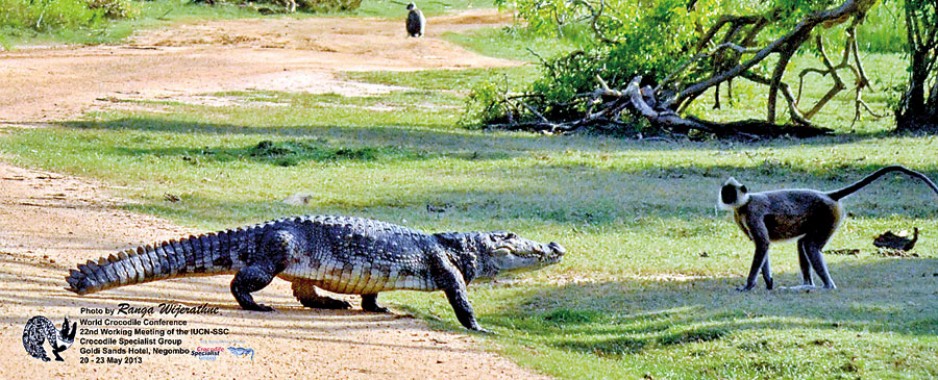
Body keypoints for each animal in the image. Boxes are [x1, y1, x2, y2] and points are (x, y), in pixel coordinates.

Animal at [716, 165, 936, 292]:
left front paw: (748, 285)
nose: (725, 197)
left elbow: (762, 243)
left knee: (810, 246)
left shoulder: (752, 212)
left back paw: (826, 287)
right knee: (803, 243)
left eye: (730, 192)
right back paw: (807, 285)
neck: (744, 203)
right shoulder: (740, 216)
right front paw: (768, 281)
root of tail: (829, 195)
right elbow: (763, 246)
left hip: (829, 215)